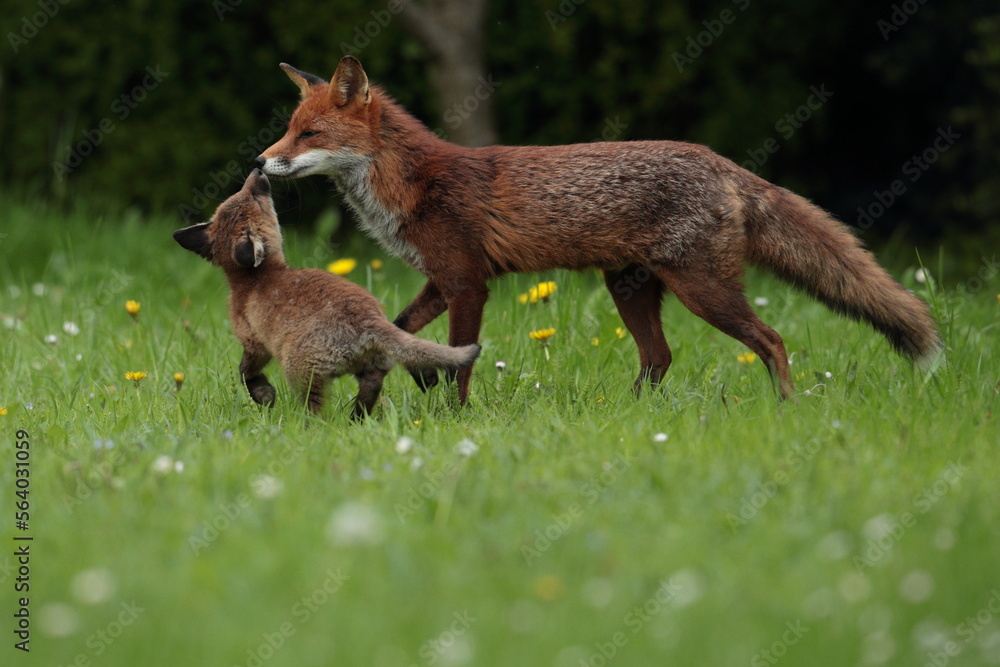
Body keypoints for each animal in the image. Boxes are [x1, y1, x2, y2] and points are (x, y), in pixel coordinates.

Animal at [256, 57, 936, 404]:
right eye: (289, 130)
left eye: (309, 135)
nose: (261, 163)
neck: (413, 183)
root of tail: (722, 161)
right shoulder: (441, 280)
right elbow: (402, 329)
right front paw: (419, 377)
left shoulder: (468, 283)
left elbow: (462, 361)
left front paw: (453, 414)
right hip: (630, 288)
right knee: (660, 356)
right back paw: (633, 415)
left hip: (703, 290)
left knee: (770, 340)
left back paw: (785, 409)